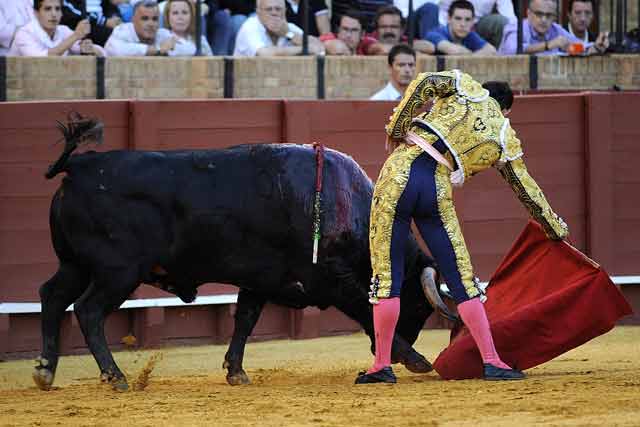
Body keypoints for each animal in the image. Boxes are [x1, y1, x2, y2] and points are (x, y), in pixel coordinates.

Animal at [33, 118, 450, 392]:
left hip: (75, 265)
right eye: (418, 305)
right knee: (88, 311)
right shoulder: (337, 281)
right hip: (117, 272)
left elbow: (245, 321)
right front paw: (416, 359)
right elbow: (366, 310)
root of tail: (81, 165)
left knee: (52, 297)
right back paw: (115, 376)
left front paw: (235, 371)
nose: (389, 354)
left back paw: (46, 371)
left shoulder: (260, 280)